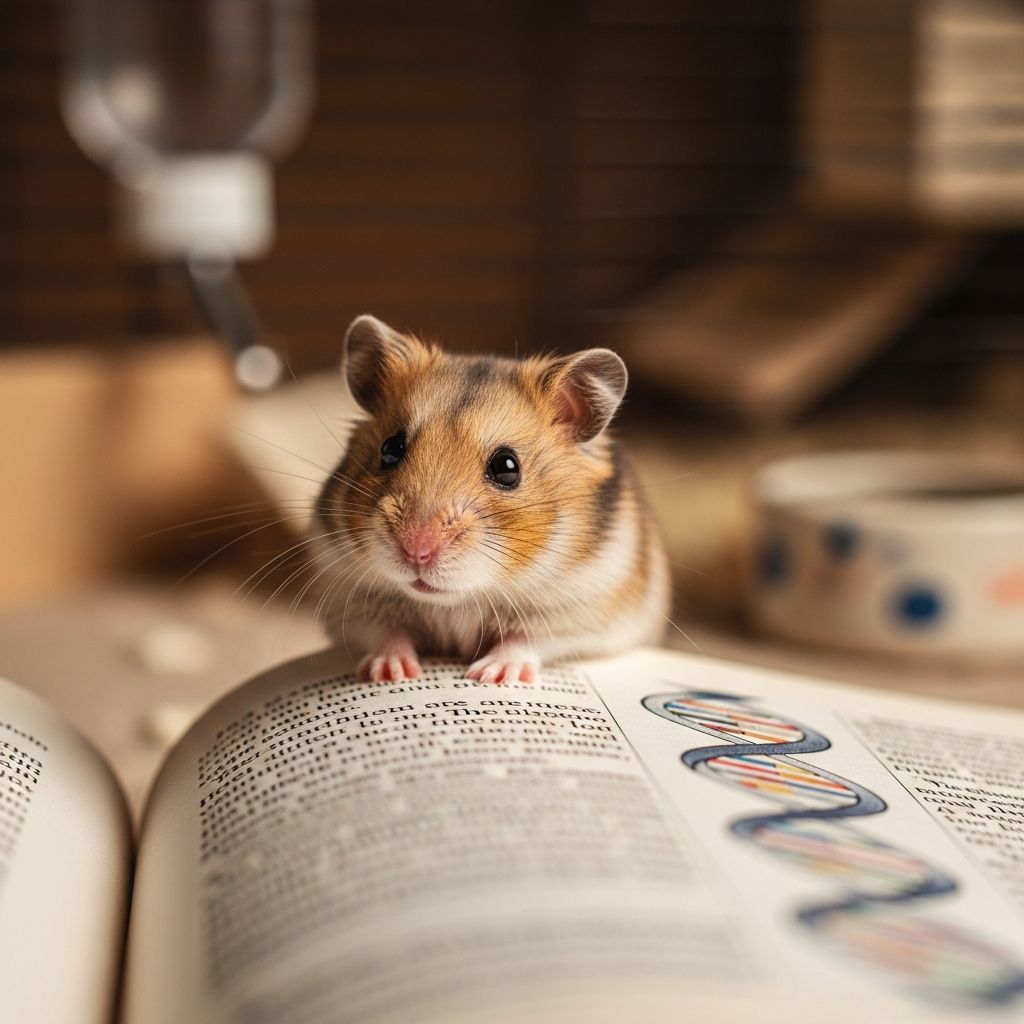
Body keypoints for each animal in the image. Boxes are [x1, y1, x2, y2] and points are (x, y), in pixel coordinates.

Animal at [313, 314, 670, 684]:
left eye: (507, 467)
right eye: (390, 448)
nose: (416, 552)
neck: (460, 599)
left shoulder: (582, 612)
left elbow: (525, 639)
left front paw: (491, 676)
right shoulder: (351, 600)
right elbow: (387, 632)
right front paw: (389, 673)